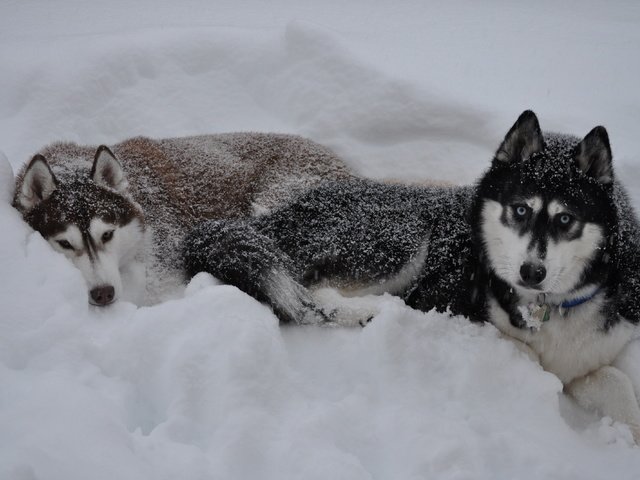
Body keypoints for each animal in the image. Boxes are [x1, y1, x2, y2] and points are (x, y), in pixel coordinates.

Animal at [185, 111, 640, 438]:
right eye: (520, 209)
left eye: (566, 219)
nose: (532, 272)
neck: (550, 307)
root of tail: (275, 216)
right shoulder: (461, 309)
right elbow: (527, 357)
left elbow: (617, 383)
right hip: (401, 237)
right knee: (311, 294)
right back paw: (369, 311)